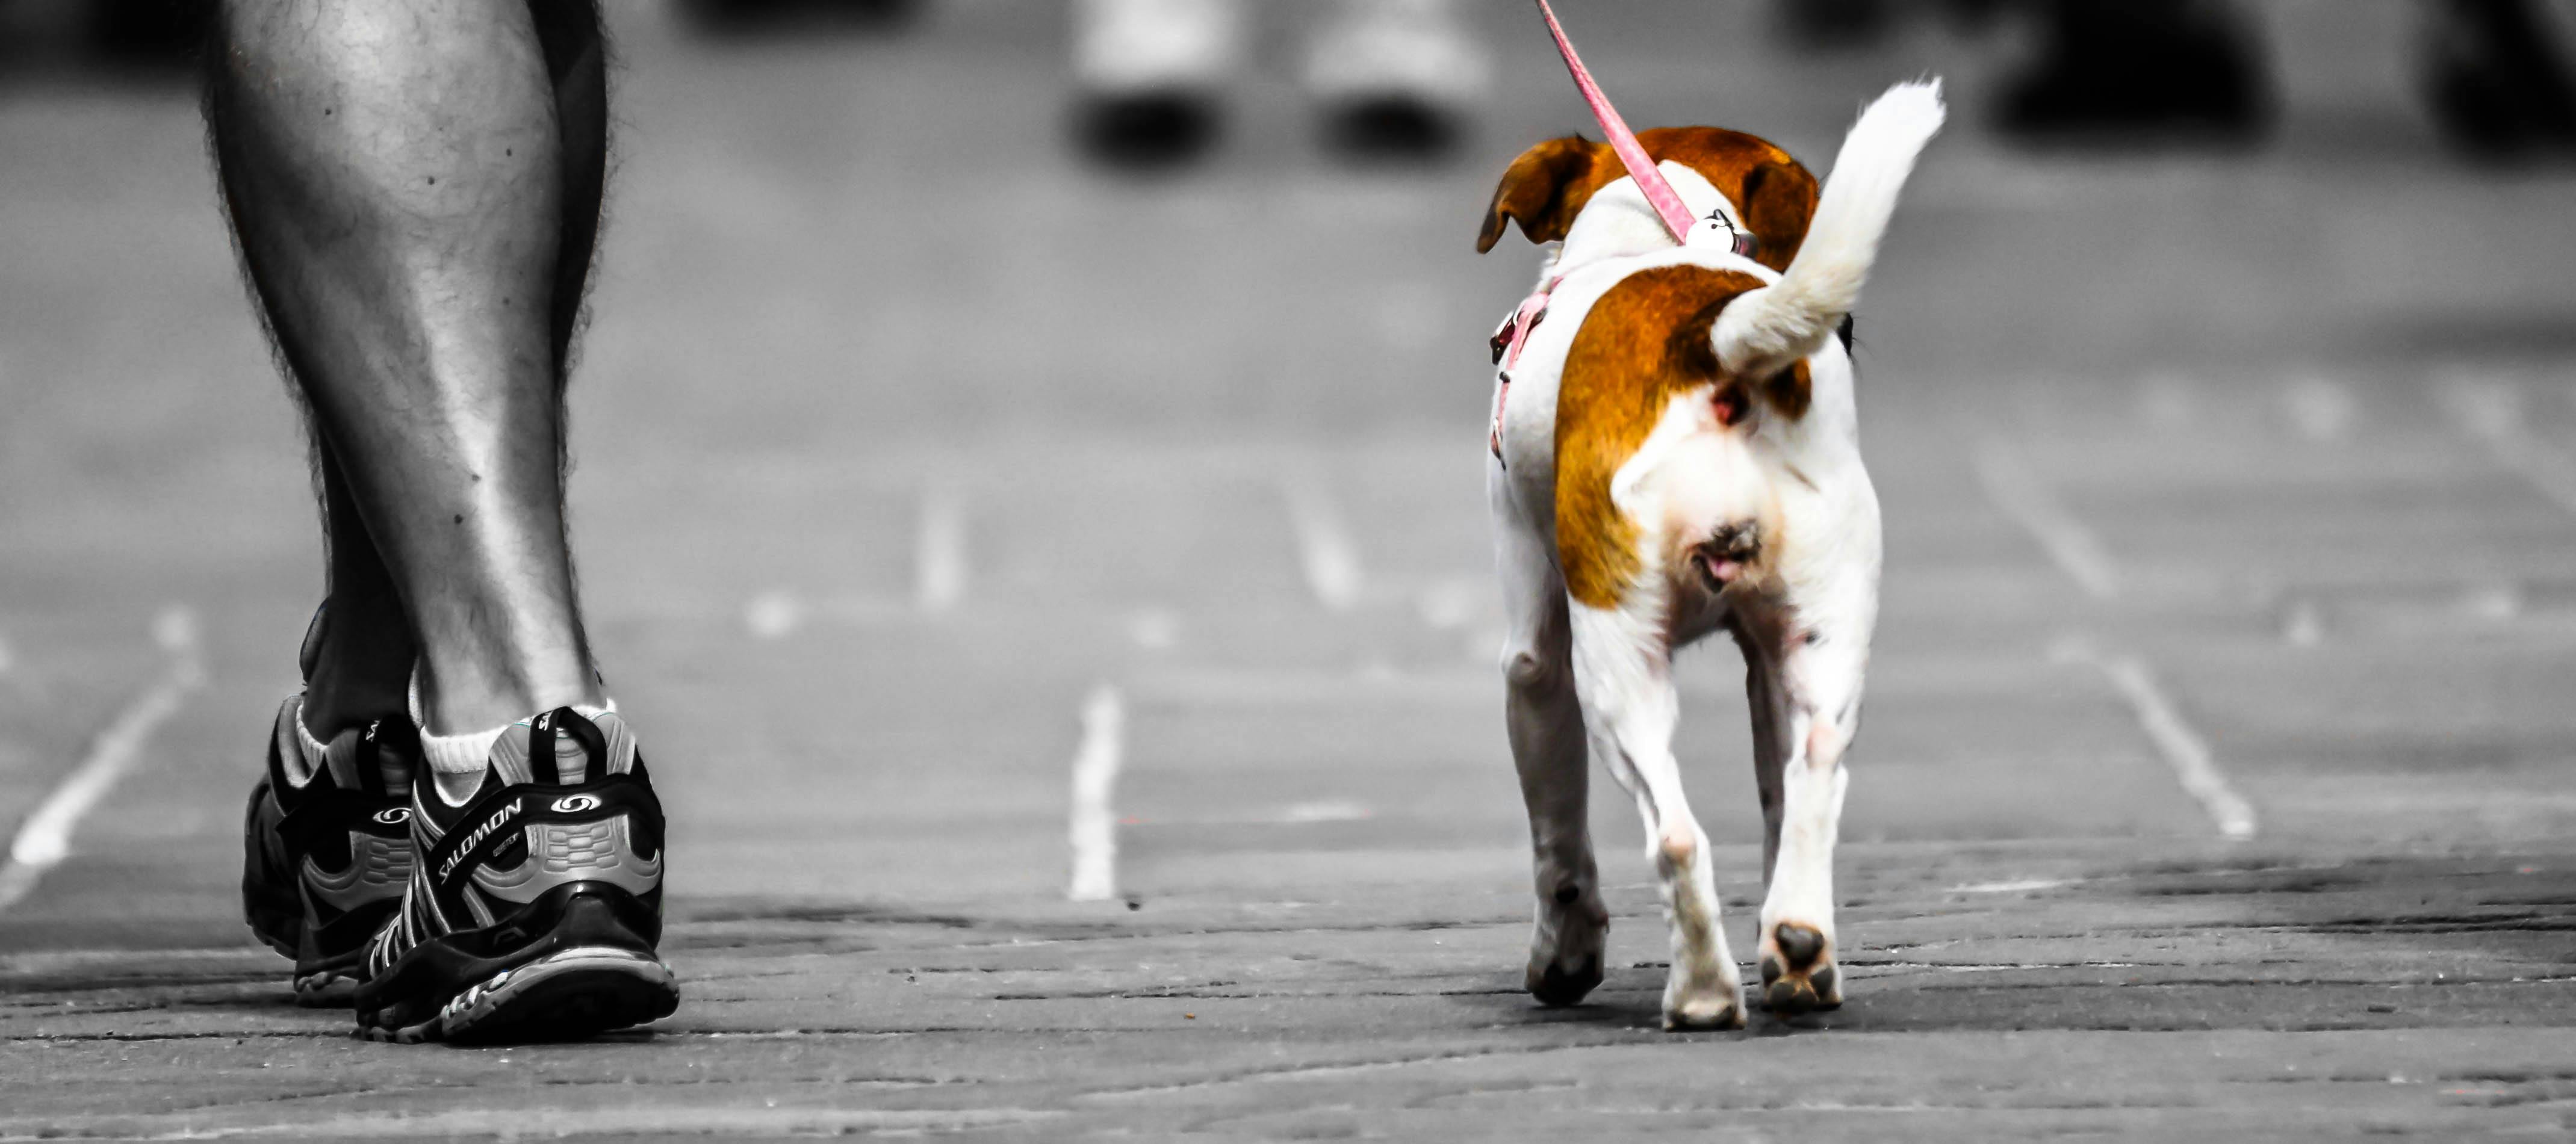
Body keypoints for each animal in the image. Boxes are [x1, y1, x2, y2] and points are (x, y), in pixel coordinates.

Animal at [1483, 80, 1937, 1025]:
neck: (1664, 232)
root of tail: (1709, 340)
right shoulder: (1766, 661)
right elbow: (1775, 795)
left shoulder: (1534, 660)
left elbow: (1558, 840)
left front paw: (1562, 958)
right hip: (1823, 637)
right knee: (1813, 778)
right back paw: (1798, 952)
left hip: (1615, 664)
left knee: (1676, 836)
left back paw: (1700, 992)